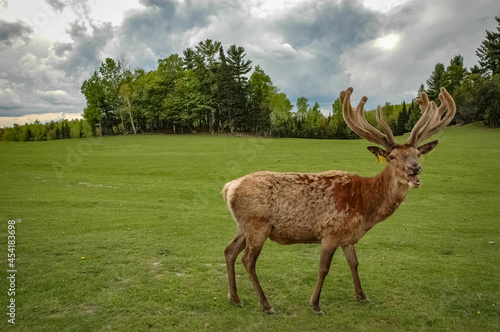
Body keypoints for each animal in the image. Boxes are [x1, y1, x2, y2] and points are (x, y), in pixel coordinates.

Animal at [223, 85, 458, 314]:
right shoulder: (330, 232)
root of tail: (229, 187)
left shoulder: (348, 238)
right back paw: (266, 304)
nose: (414, 169)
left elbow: (354, 263)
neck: (365, 207)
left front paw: (362, 296)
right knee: (247, 259)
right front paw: (316, 305)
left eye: (418, 154)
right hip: (257, 225)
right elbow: (323, 268)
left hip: (243, 226)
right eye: (392, 157)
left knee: (229, 251)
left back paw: (235, 299)